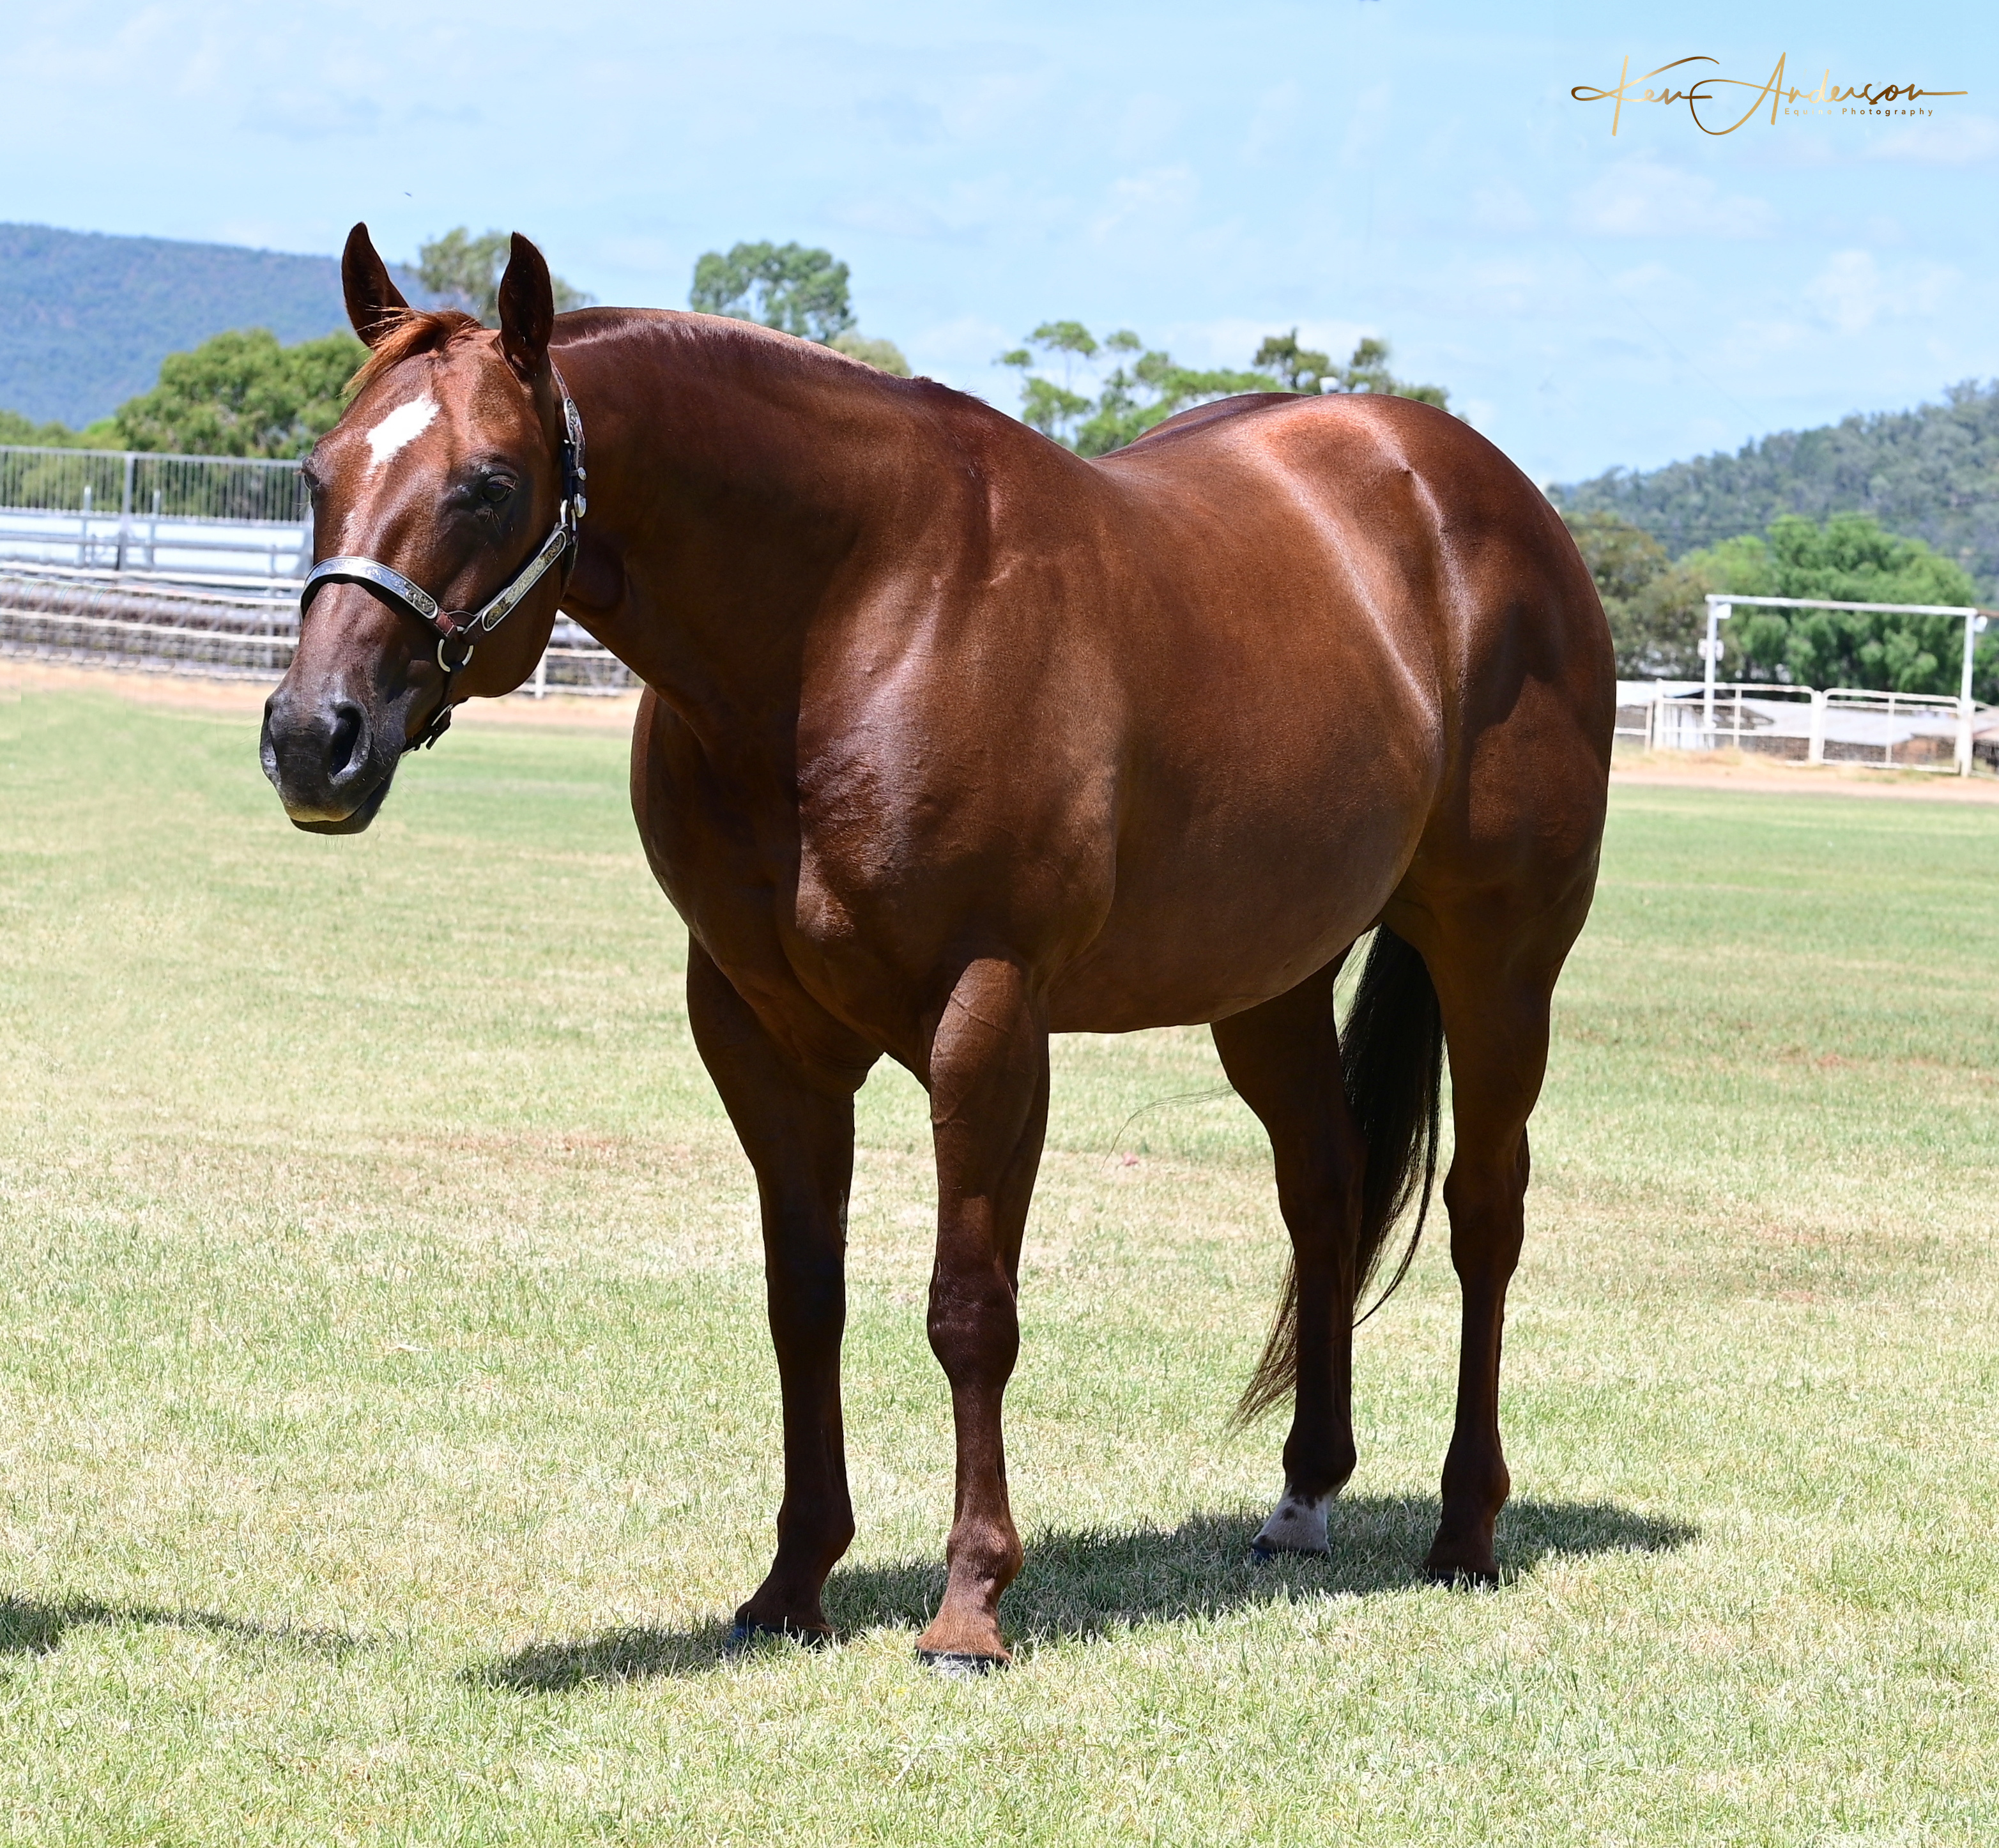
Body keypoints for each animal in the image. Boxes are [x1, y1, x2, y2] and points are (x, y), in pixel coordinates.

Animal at [261, 226, 1613, 1670]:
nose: (313, 738)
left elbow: (968, 1306)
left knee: (1482, 1214)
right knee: (1323, 1188)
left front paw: (968, 1603)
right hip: (1268, 979)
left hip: (1497, 959)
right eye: (318, 474)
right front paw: (791, 1582)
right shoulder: (759, 1032)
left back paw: (1464, 1528)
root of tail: (1478, 493)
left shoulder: (987, 1017)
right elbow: (804, 1301)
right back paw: (1302, 1497)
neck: (856, 613)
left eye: (489, 484)